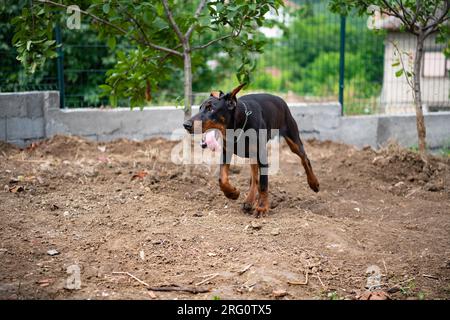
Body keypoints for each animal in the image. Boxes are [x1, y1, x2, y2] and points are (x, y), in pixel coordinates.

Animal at [183, 84, 320, 216]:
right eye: (200, 108)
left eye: (211, 109)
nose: (186, 125)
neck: (238, 126)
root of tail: (280, 100)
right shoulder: (226, 152)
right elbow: (222, 178)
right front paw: (232, 193)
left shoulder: (262, 155)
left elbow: (264, 183)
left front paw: (262, 207)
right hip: (253, 154)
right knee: (254, 177)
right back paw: (249, 200)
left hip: (292, 138)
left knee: (304, 158)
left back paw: (314, 183)